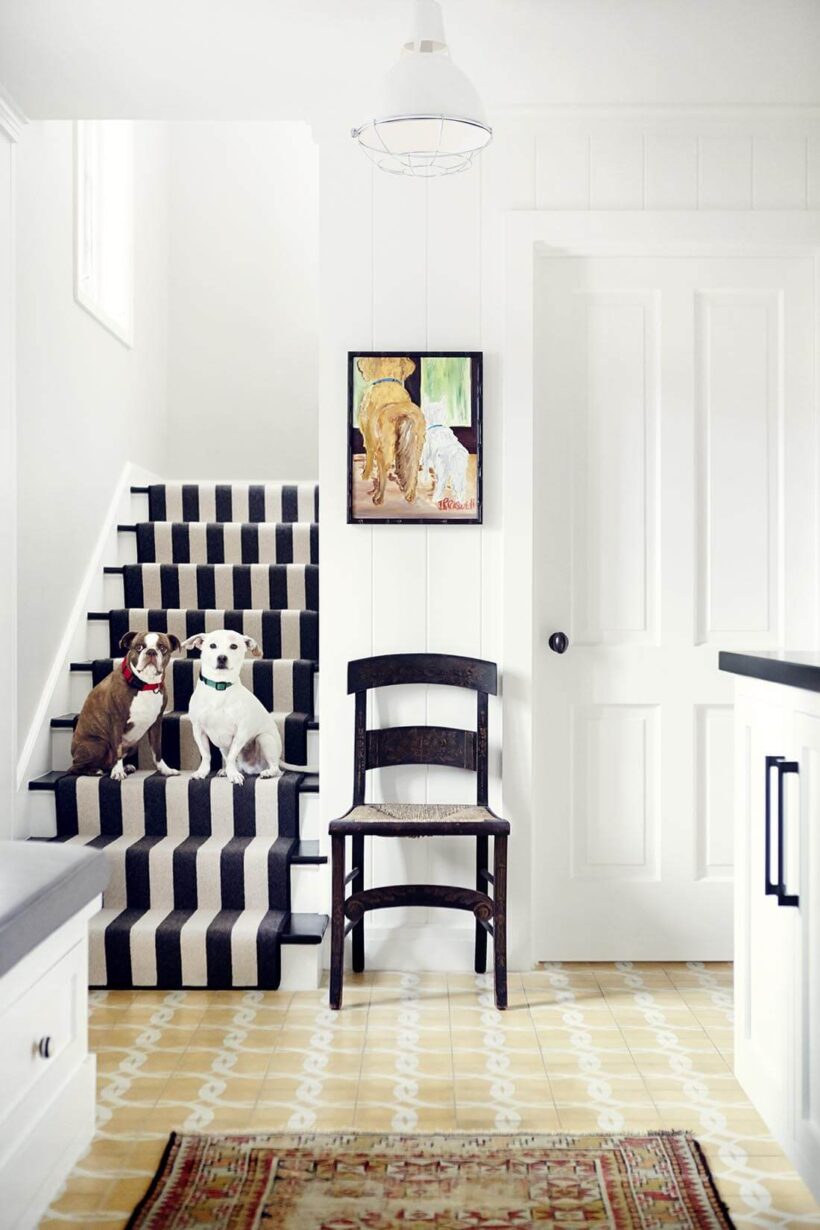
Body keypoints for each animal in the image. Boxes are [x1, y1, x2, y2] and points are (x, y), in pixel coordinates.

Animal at [70, 634, 180, 777]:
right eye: (139, 647)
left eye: (162, 648)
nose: (151, 651)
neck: (145, 685)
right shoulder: (117, 722)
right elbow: (117, 748)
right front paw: (117, 772)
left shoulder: (156, 723)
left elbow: (157, 750)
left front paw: (165, 770)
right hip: (99, 744)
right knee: (74, 768)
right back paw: (96, 770)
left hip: (132, 746)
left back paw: (124, 767)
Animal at [179, 629, 282, 782]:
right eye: (212, 645)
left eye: (234, 646)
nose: (222, 657)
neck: (219, 687)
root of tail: (252, 768)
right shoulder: (198, 730)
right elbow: (206, 755)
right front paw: (202, 772)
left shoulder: (241, 732)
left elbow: (232, 756)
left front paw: (233, 774)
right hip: (224, 747)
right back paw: (226, 770)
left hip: (265, 739)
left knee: (276, 768)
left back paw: (267, 772)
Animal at [356, 356, 427, 504]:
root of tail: (402, 412)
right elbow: (401, 463)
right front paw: (400, 476)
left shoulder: (369, 441)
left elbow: (369, 460)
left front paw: (365, 476)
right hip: (416, 445)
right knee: (413, 469)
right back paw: (410, 495)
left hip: (384, 448)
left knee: (384, 471)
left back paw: (378, 497)